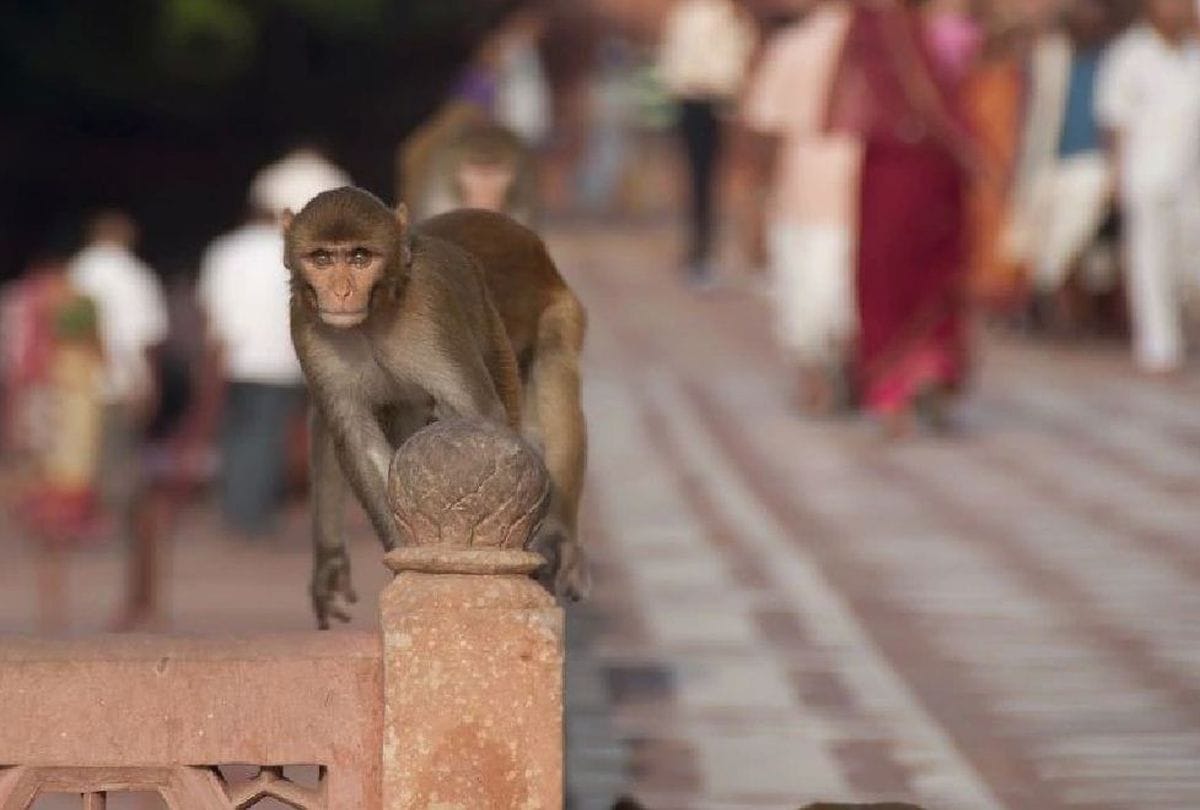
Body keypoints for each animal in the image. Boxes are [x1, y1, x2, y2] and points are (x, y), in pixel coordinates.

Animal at [284, 187, 586, 628]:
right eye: (321, 258)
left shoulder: (431, 311)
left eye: (360, 256)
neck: (375, 317)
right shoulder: (306, 325)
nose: (340, 293)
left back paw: (559, 537)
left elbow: (478, 416)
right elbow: (352, 435)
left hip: (557, 316)